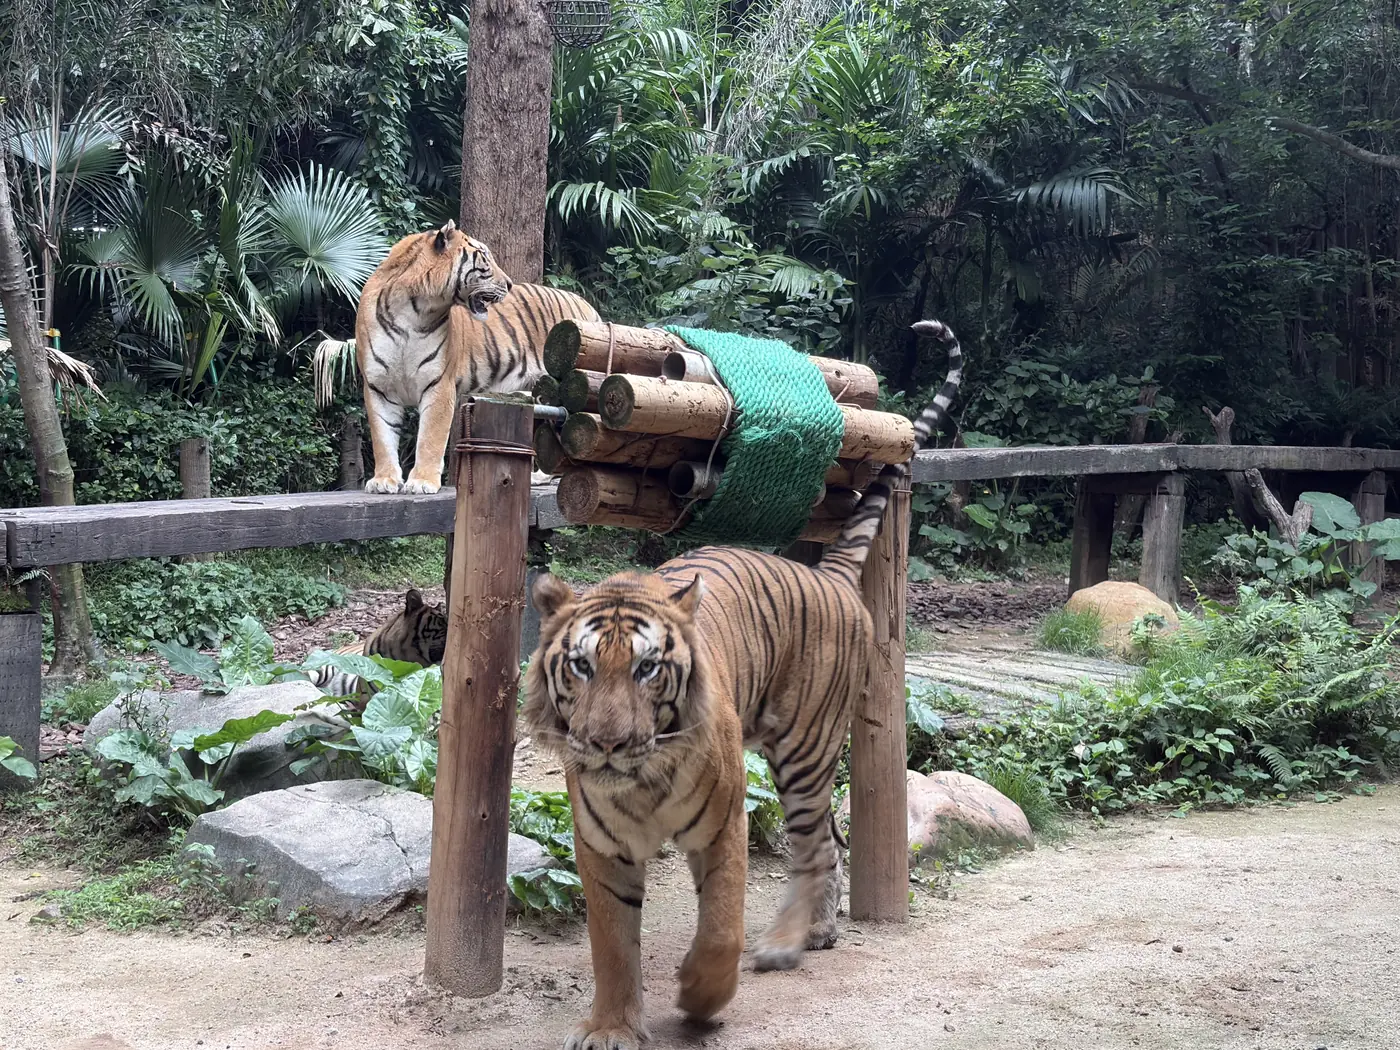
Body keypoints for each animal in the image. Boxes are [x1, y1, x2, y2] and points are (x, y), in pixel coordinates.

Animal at [357, 220, 601, 495]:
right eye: (484, 258)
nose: (509, 284)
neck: (412, 310)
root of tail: (587, 306)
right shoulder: (378, 387)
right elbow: (382, 437)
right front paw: (384, 480)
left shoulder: (439, 385)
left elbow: (430, 438)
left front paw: (421, 481)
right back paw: (539, 477)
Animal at [521, 318, 964, 1050]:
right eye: (581, 666)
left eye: (646, 668)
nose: (607, 745)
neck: (640, 784)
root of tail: (828, 574)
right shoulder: (602, 849)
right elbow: (611, 943)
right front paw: (612, 1026)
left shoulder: (723, 825)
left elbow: (721, 925)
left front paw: (700, 999)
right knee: (830, 846)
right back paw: (819, 932)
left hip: (806, 753)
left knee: (814, 849)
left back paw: (786, 943)